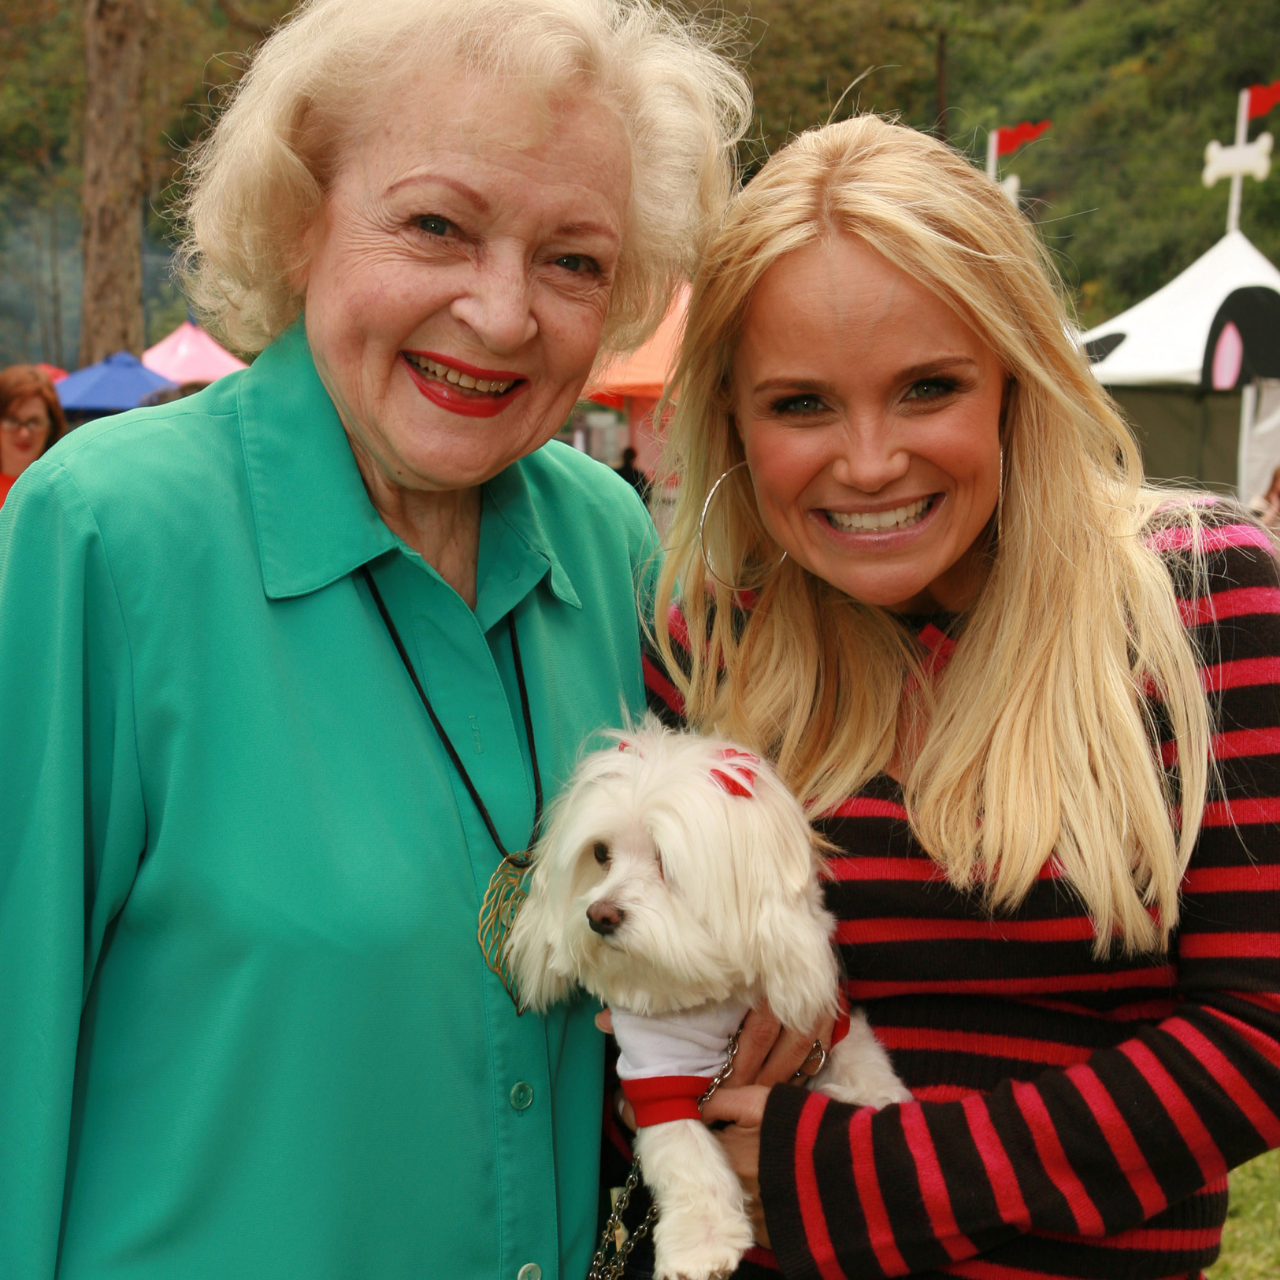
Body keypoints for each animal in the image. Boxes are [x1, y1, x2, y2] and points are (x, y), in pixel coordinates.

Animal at [504, 721, 906, 1280]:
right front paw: (703, 1242)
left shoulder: (822, 1018)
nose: (599, 915)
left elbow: (860, 1057)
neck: (711, 992)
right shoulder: (655, 1068)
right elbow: (683, 1149)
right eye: (600, 854)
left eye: (664, 861)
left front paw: (879, 1102)